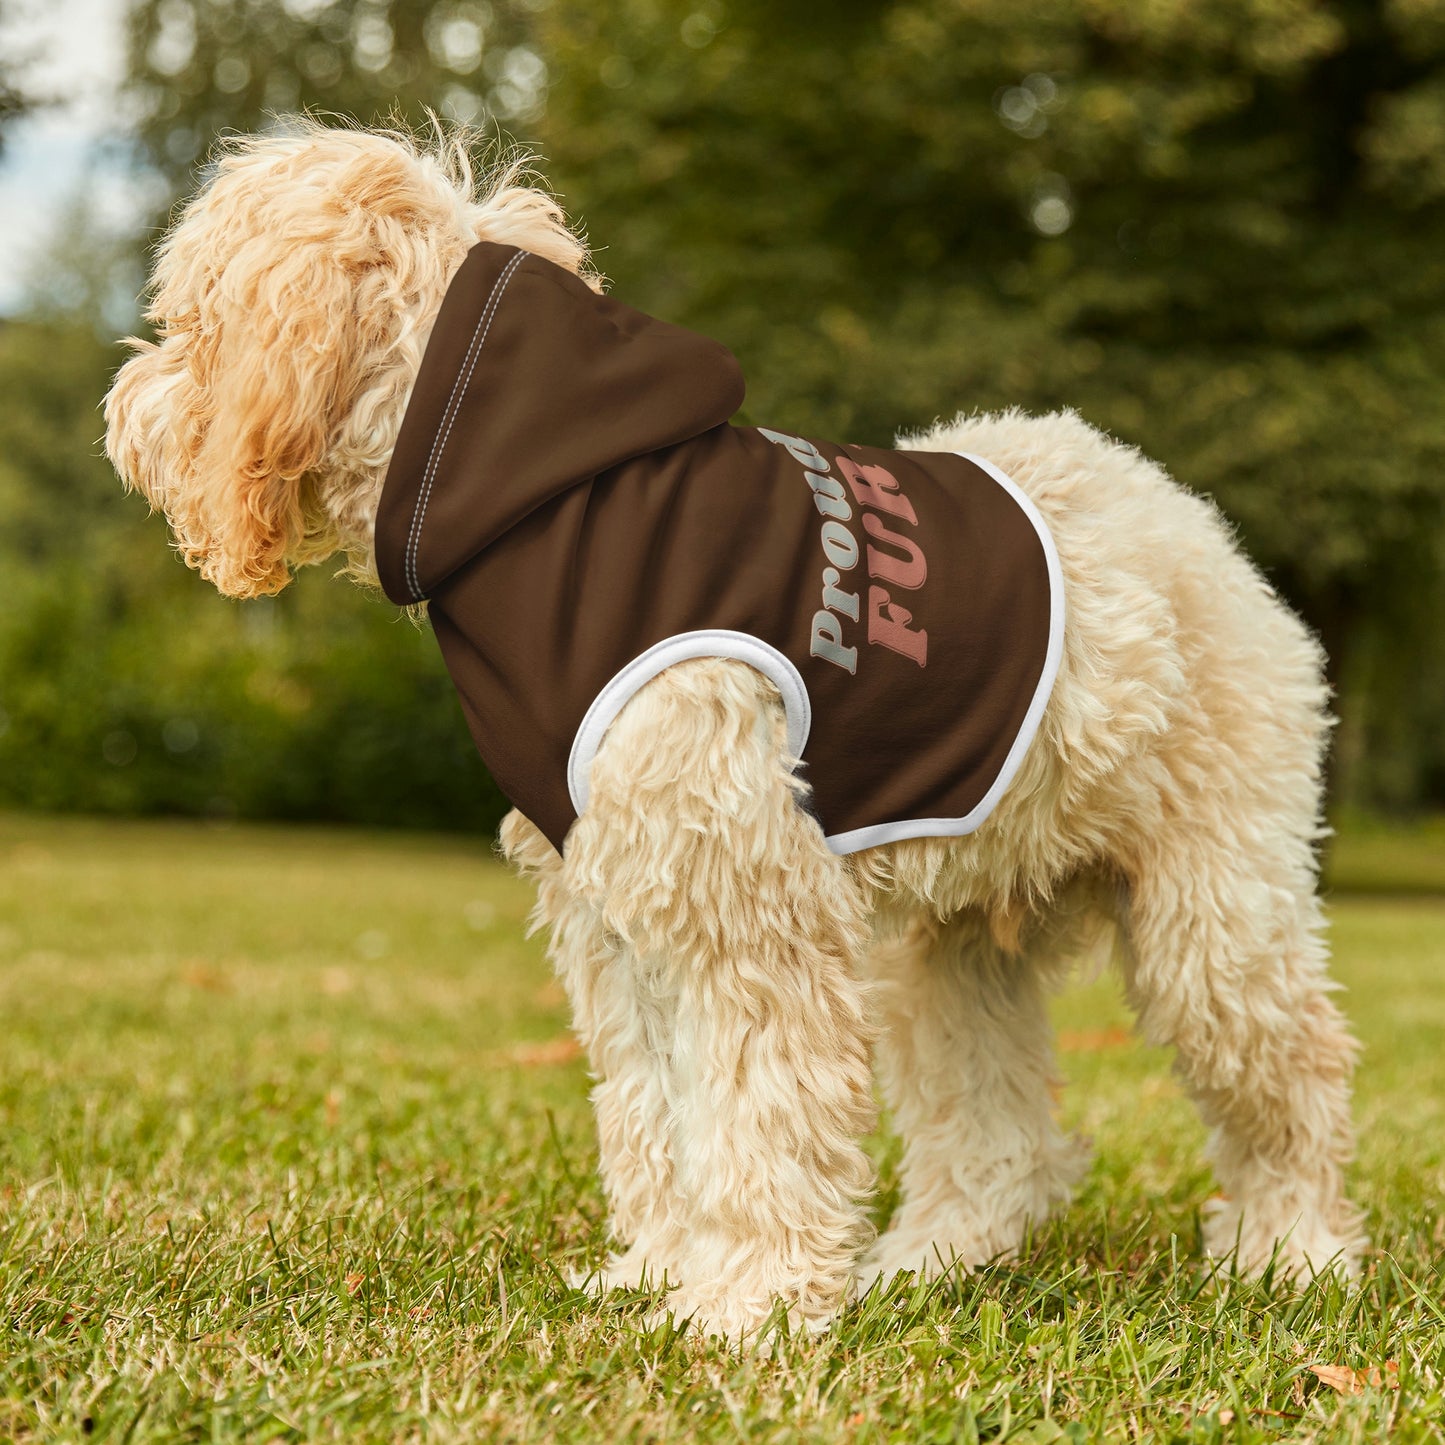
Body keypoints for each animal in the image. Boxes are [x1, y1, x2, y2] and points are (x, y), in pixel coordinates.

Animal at [104, 124, 1364, 1340]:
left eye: (190, 319)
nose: (123, 408)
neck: (540, 499)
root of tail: (1190, 521)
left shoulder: (743, 902)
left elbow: (758, 1112)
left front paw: (747, 1304)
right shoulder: (618, 908)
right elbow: (656, 1110)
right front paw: (662, 1272)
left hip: (1212, 915)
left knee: (1293, 1074)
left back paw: (1290, 1251)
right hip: (948, 948)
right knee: (996, 1133)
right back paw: (930, 1259)